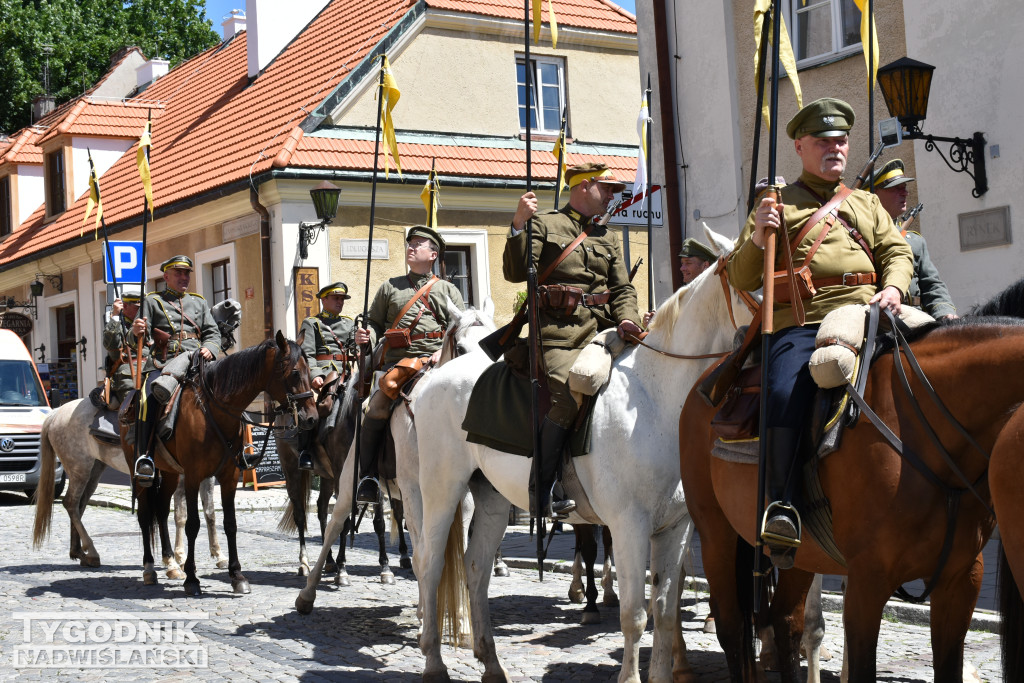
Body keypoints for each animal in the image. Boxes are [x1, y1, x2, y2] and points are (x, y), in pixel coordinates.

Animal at [32, 397, 226, 573]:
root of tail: (56, 413)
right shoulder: (181, 476)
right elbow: (180, 516)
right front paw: (180, 557)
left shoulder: (206, 477)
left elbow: (210, 514)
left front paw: (218, 554)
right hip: (79, 469)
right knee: (71, 504)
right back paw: (91, 551)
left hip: (94, 471)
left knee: (79, 506)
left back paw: (80, 553)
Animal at [119, 333, 313, 593]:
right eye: (294, 372)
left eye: (309, 371)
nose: (311, 417)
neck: (214, 411)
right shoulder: (193, 476)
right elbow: (192, 524)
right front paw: (192, 579)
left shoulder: (228, 476)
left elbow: (230, 523)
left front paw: (237, 575)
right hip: (140, 475)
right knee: (144, 514)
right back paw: (150, 569)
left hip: (170, 472)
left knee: (160, 509)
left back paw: (171, 565)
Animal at [409, 227, 761, 679]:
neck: (655, 398)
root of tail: (430, 380)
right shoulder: (629, 525)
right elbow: (635, 615)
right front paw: (629, 675)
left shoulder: (676, 527)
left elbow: (665, 612)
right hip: (441, 490)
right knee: (429, 564)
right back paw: (434, 661)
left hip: (490, 497)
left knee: (475, 569)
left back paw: (491, 663)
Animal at [679, 290, 1024, 679]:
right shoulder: (867, 581)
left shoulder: (962, 580)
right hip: (716, 534)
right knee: (733, 625)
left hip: (799, 553)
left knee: (785, 620)